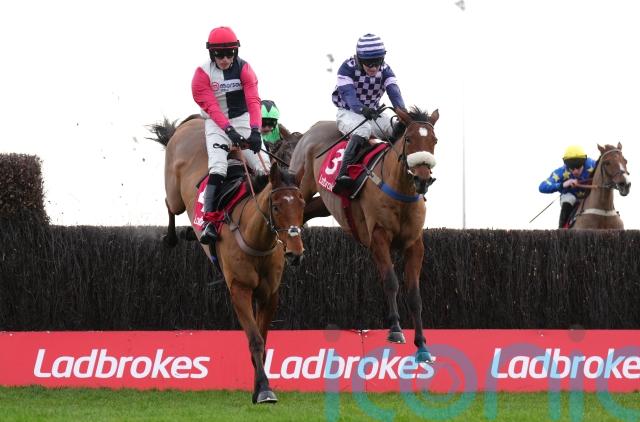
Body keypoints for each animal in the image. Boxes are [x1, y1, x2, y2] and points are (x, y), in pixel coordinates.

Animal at [148, 116, 306, 404]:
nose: (295, 252)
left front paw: (259, 385)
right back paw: (173, 237)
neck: (257, 239)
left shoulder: (270, 293)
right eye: (277, 206)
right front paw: (264, 389)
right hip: (175, 193)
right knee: (169, 204)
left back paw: (191, 232)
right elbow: (254, 339)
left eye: (301, 205)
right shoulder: (239, 290)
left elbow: (264, 339)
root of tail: (195, 120)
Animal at [289, 106, 439, 362]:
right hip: (301, 185)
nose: (422, 179)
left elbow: (414, 294)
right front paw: (396, 330)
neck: (400, 191)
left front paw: (422, 345)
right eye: (409, 139)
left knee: (304, 213)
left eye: (434, 141)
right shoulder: (378, 237)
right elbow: (391, 281)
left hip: (321, 204)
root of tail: (312, 129)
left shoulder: (414, 244)